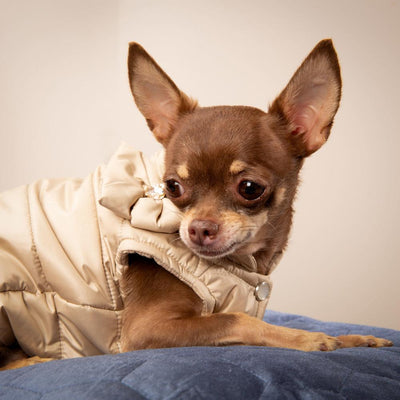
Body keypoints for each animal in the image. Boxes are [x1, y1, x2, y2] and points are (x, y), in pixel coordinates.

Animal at [0, 39, 392, 368]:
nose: (198, 229)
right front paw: (306, 338)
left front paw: (354, 338)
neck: (249, 264)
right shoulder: (143, 329)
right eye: (173, 187)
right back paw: (35, 361)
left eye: (250, 188)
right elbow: (237, 319)